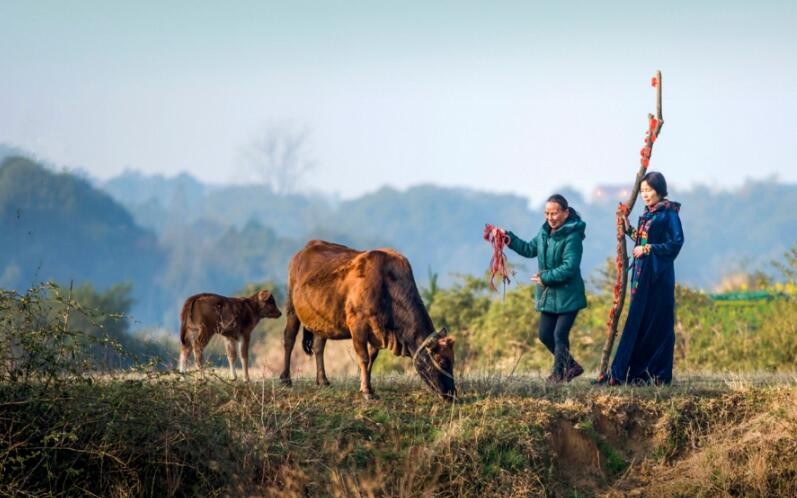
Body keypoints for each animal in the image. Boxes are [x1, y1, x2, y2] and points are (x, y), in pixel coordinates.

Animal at [278, 239, 454, 398]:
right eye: (442, 362)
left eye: (453, 361)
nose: (452, 394)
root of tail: (303, 250)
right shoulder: (358, 326)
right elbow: (363, 358)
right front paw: (366, 391)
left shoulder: (377, 332)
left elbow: (371, 359)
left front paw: (368, 386)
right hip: (291, 308)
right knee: (289, 339)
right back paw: (285, 379)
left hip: (321, 321)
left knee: (318, 346)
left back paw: (323, 381)